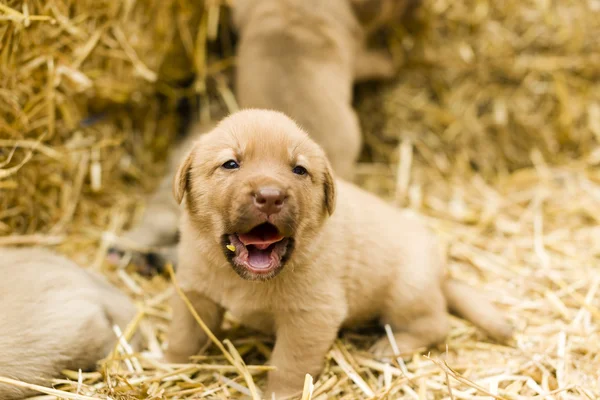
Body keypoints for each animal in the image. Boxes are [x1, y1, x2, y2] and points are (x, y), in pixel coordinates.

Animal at [166, 110, 512, 400]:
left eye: (299, 170)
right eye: (230, 164)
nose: (270, 196)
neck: (247, 280)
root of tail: (443, 276)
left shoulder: (311, 317)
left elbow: (290, 365)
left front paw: (280, 394)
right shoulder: (193, 293)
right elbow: (184, 336)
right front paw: (171, 367)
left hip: (405, 296)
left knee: (436, 325)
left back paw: (390, 347)